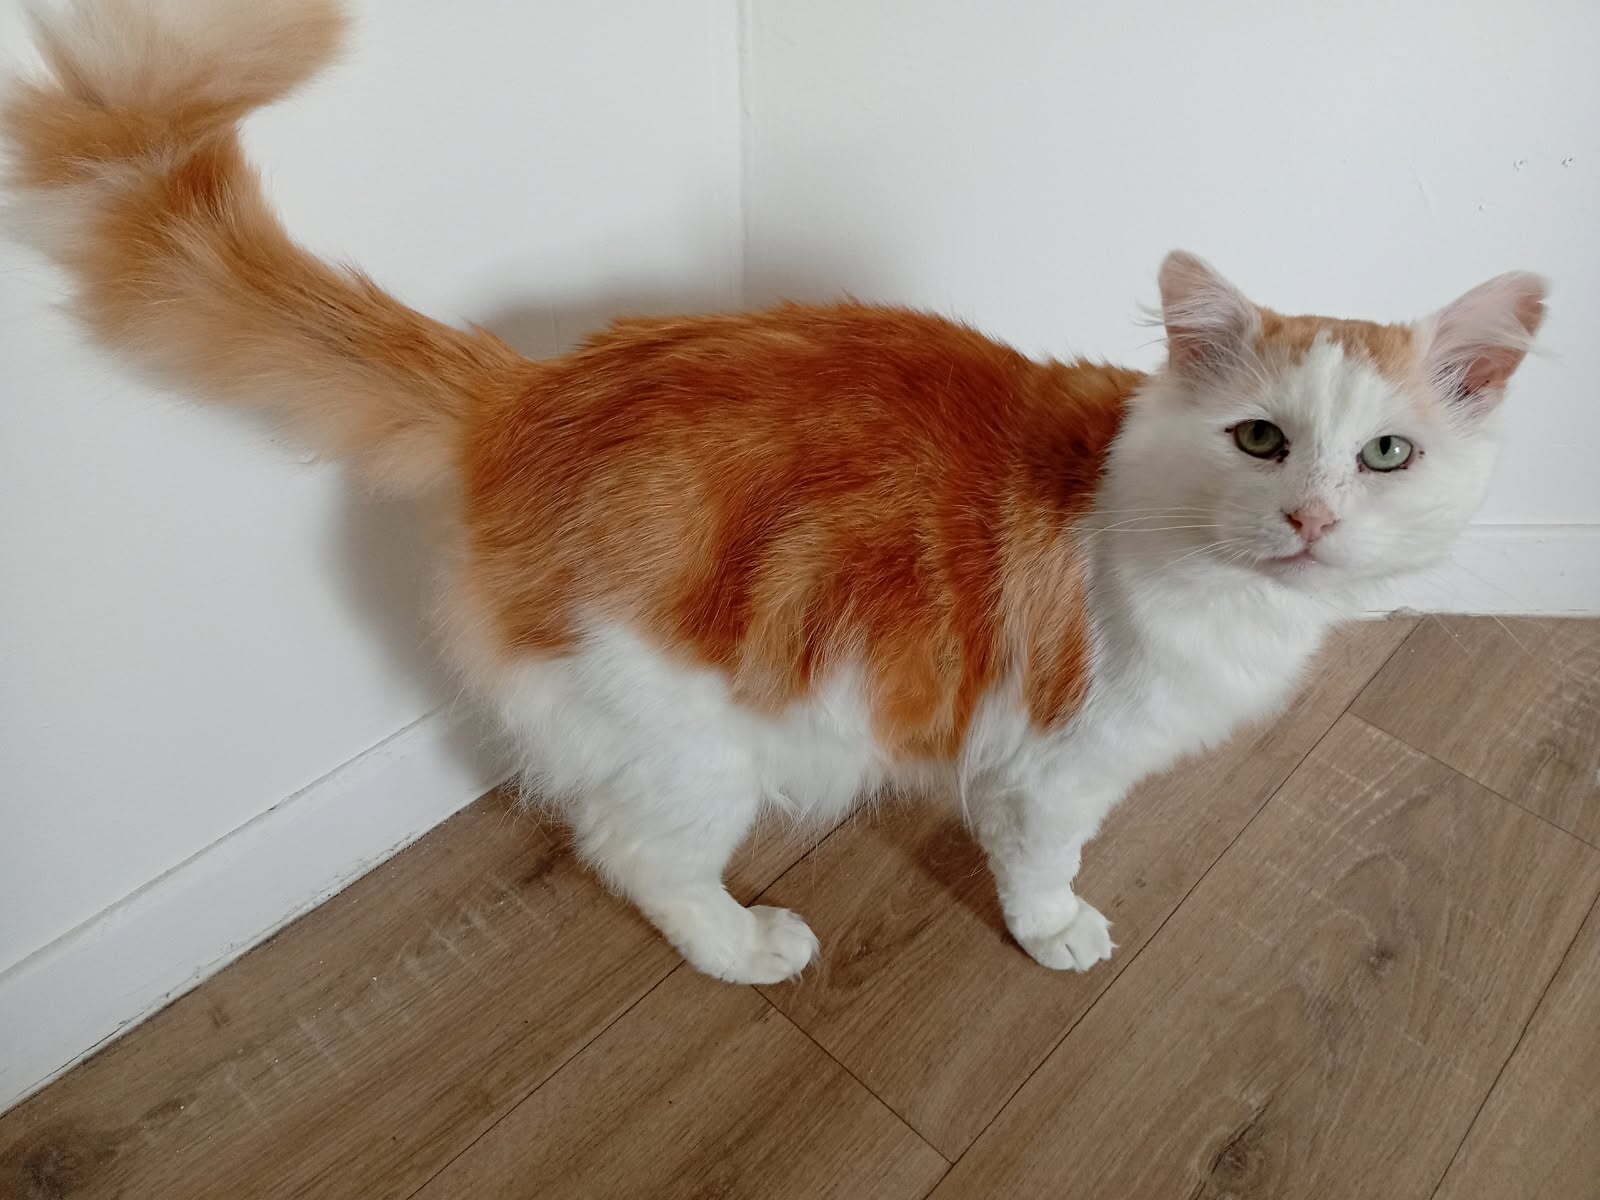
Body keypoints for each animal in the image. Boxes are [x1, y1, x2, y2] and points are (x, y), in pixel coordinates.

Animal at [5, 0, 1545, 984]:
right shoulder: (1057, 762)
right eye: (1261, 441)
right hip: (700, 747)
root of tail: (530, 385)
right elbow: (1038, 862)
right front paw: (1055, 934)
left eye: (1385, 456)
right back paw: (748, 948)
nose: (1312, 520)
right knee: (636, 854)